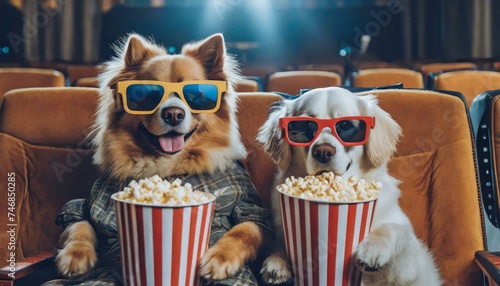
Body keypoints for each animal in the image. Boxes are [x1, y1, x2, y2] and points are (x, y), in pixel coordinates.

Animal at [258, 87, 442, 286]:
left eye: (345, 125)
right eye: (305, 127)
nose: (323, 151)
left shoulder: (408, 267)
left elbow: (394, 229)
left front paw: (373, 248)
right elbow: (284, 245)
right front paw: (277, 260)